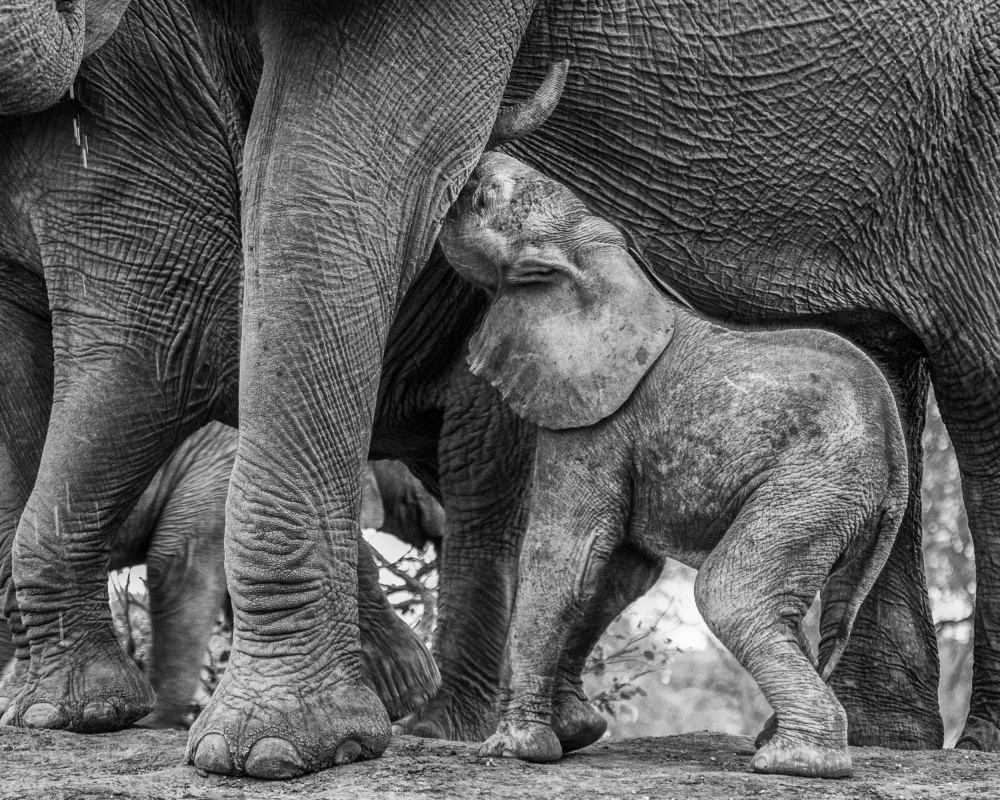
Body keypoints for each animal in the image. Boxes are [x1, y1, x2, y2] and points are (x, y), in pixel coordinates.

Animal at [440, 152, 908, 778]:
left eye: (485, 196)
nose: (475, 162)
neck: (598, 257)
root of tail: (896, 447)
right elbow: (617, 572)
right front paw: (576, 732)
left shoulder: (597, 420)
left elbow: (567, 554)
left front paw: (514, 750)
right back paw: (777, 744)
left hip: (814, 484)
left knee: (730, 593)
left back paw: (792, 761)